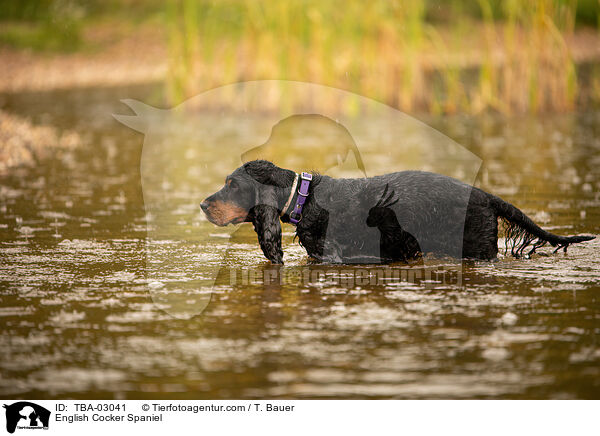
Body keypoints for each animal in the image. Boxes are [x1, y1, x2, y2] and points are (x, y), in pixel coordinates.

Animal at [203, 159, 596, 264]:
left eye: (231, 184)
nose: (204, 204)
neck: (305, 197)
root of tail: (485, 196)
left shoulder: (330, 256)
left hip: (476, 246)